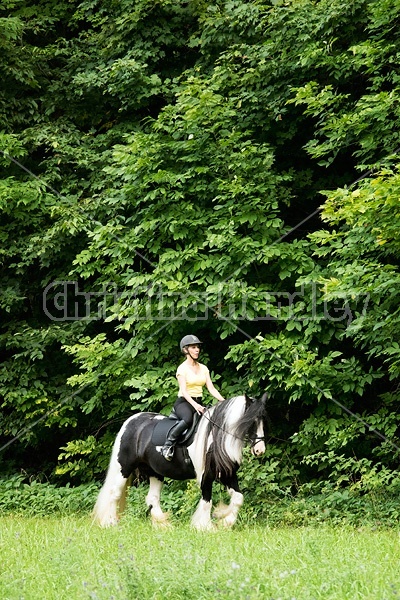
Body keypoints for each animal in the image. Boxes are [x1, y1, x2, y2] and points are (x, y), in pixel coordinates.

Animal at [92, 394, 268, 528]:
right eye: (250, 421)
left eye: (263, 421)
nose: (260, 450)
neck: (215, 437)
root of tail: (131, 421)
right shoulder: (205, 476)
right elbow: (207, 501)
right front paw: (204, 526)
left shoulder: (227, 474)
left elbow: (238, 498)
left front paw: (225, 521)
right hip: (124, 468)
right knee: (114, 493)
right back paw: (110, 522)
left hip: (155, 472)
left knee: (152, 498)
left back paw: (162, 525)